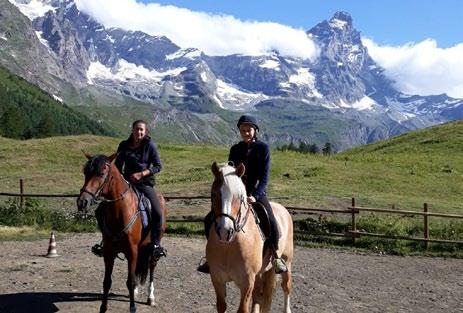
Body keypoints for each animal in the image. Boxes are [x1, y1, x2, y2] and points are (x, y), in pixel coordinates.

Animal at [77, 154, 168, 312]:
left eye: (101, 173)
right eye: (85, 172)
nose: (82, 202)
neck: (119, 212)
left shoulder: (132, 251)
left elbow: (130, 281)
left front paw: (132, 308)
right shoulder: (109, 252)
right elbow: (107, 281)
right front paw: (103, 308)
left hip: (153, 246)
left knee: (152, 265)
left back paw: (151, 297)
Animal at [208, 162, 294, 310]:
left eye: (239, 196)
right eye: (214, 194)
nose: (225, 232)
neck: (229, 246)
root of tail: (283, 209)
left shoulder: (247, 282)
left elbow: (243, 309)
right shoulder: (217, 279)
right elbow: (221, 306)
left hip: (286, 261)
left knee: (286, 287)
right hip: (261, 272)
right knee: (259, 295)